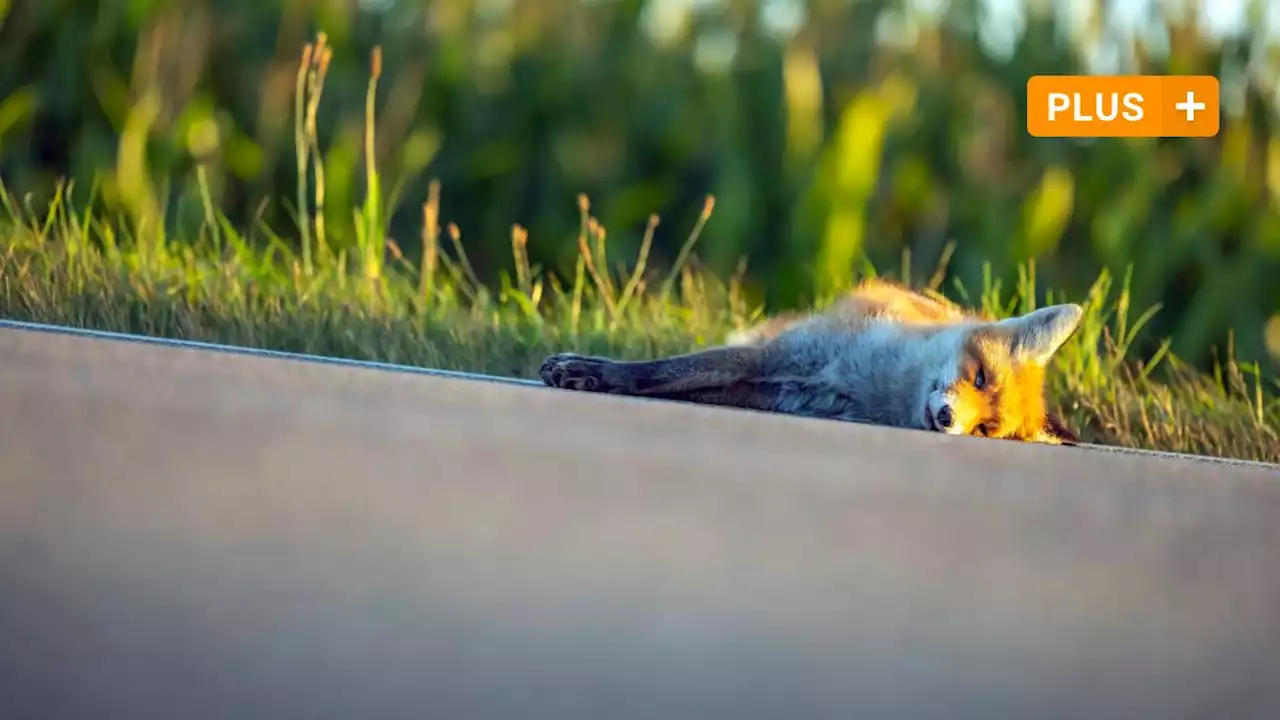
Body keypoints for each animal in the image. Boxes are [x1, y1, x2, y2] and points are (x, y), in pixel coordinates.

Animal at [535, 279, 1085, 443]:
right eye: (980, 375)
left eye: (985, 430)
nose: (948, 418)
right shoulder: (777, 356)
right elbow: (665, 370)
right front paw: (592, 371)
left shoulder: (777, 390)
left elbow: (679, 380)